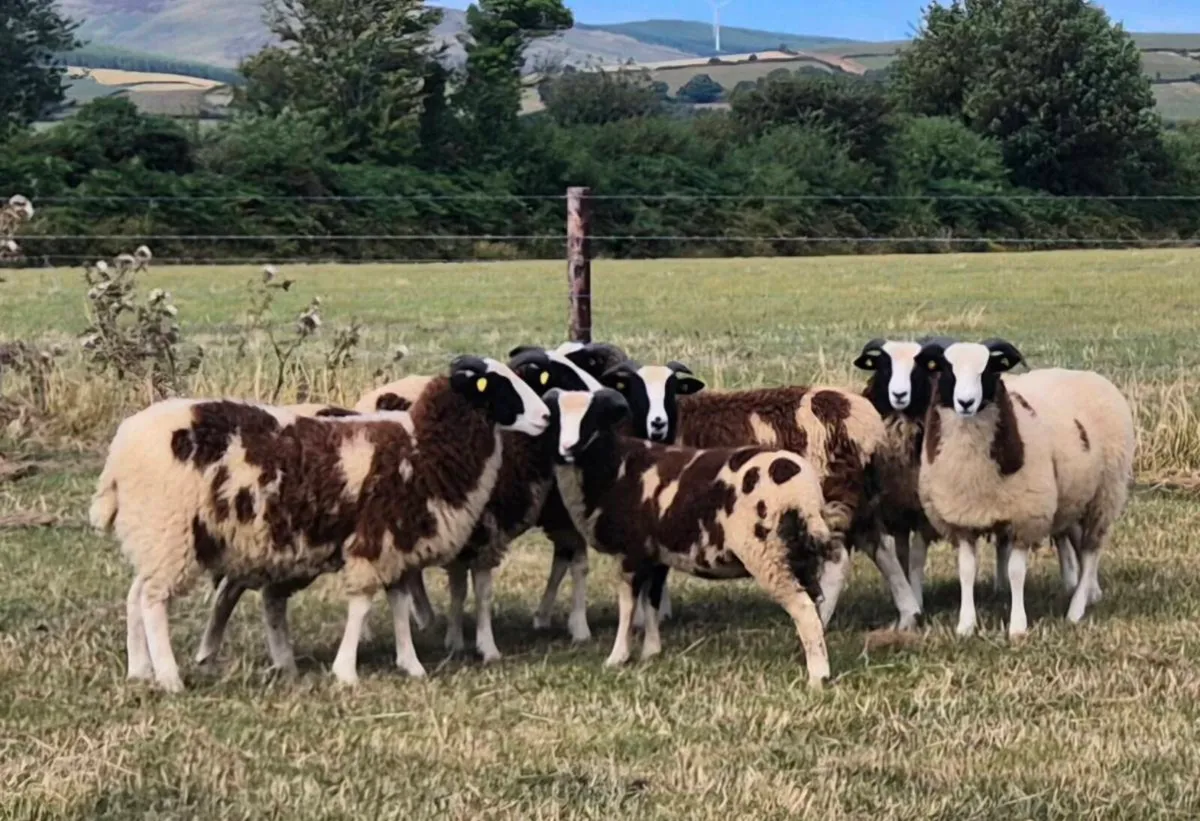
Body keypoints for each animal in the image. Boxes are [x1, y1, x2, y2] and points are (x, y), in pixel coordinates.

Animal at [89, 356, 550, 691]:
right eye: (498, 386)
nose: (546, 416)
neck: (422, 446)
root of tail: (121, 448)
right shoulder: (373, 542)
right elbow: (362, 606)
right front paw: (346, 672)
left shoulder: (396, 542)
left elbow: (399, 605)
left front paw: (411, 664)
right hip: (169, 531)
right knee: (153, 602)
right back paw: (169, 678)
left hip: (156, 536)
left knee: (135, 595)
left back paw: (139, 669)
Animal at [546, 387, 839, 687]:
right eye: (556, 417)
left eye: (591, 418)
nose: (567, 448)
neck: (614, 467)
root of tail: (804, 493)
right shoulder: (657, 554)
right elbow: (651, 601)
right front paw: (651, 651)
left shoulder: (631, 552)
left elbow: (627, 607)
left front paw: (617, 658)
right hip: (801, 556)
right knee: (816, 606)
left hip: (768, 555)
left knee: (803, 610)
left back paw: (817, 678)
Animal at [596, 360, 913, 631]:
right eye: (633, 388)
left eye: (671, 387)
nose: (657, 423)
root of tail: (864, 417)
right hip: (861, 494)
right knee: (880, 546)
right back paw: (908, 615)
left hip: (831, 492)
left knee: (838, 557)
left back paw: (821, 618)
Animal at [915, 339, 1134, 638]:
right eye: (947, 369)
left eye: (988, 369)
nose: (965, 402)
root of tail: (1089, 375)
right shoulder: (962, 521)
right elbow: (967, 571)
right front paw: (965, 625)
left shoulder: (1025, 517)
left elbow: (1016, 572)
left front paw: (1018, 627)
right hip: (1075, 498)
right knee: (1079, 545)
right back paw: (1088, 593)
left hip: (1104, 496)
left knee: (1091, 551)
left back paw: (1076, 609)